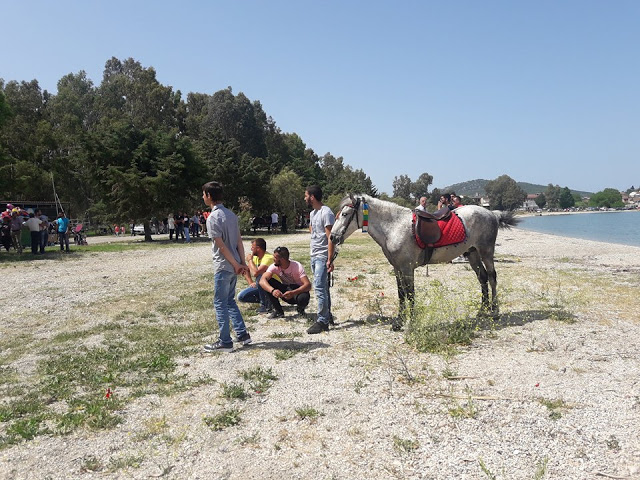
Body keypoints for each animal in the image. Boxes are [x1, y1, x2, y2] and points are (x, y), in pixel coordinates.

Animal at [330, 193, 520, 328]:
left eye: (345, 214)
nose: (332, 237)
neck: (394, 227)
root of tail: (491, 213)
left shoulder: (407, 268)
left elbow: (410, 294)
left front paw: (412, 322)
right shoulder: (397, 268)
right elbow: (401, 294)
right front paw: (399, 322)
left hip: (486, 252)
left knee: (492, 277)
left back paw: (495, 312)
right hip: (472, 253)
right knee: (482, 278)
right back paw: (482, 311)